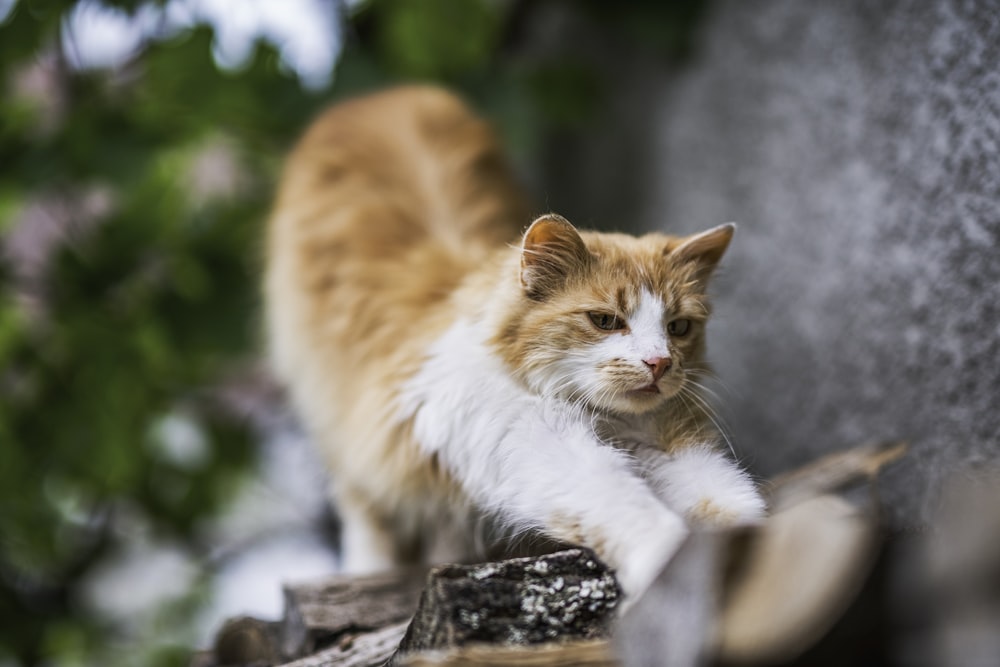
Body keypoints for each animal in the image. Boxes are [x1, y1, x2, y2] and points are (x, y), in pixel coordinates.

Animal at [266, 86, 764, 604]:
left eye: (678, 327)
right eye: (606, 321)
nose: (659, 363)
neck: (608, 421)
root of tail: (379, 94)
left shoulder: (667, 446)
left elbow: (725, 499)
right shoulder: (534, 441)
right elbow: (622, 503)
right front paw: (664, 561)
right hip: (332, 411)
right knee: (367, 509)